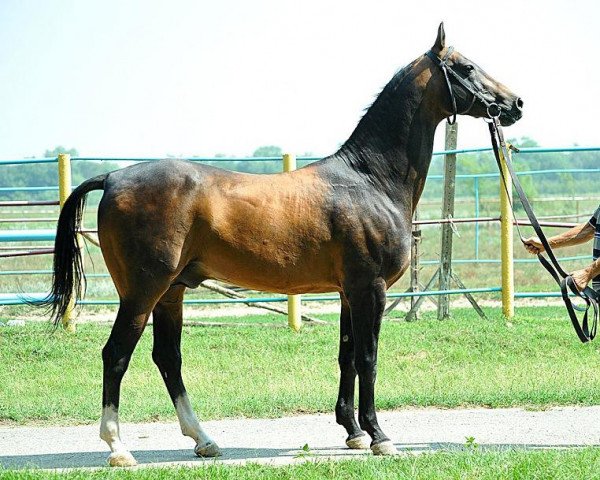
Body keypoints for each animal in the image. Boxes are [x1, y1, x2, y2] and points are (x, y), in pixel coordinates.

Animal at [42, 24, 520, 466]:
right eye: (466, 67)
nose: (515, 104)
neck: (369, 180)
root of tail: (113, 177)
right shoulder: (372, 289)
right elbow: (368, 357)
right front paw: (379, 436)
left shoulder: (349, 291)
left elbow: (347, 355)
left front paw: (352, 432)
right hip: (142, 293)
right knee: (116, 355)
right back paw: (119, 448)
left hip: (171, 293)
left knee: (167, 358)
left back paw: (204, 440)